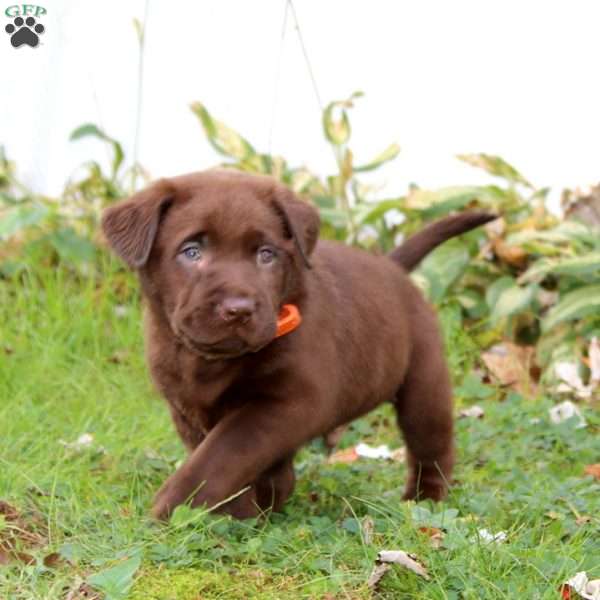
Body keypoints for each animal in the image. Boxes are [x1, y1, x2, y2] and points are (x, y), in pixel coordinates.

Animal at [102, 170, 496, 520]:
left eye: (266, 254)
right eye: (191, 252)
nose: (239, 309)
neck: (210, 361)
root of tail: (393, 268)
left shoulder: (289, 400)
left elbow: (223, 453)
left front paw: (175, 507)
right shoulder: (185, 409)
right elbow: (222, 456)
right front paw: (242, 509)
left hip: (424, 383)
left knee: (431, 447)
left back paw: (424, 500)